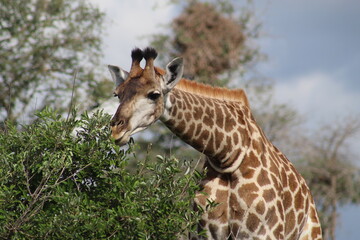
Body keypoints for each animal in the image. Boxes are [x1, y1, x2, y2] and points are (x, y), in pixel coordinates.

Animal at [107, 47, 324, 240]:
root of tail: (309, 198)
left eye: (154, 94)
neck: (227, 154)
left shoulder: (263, 233)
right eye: (117, 93)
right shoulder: (205, 233)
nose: (116, 130)